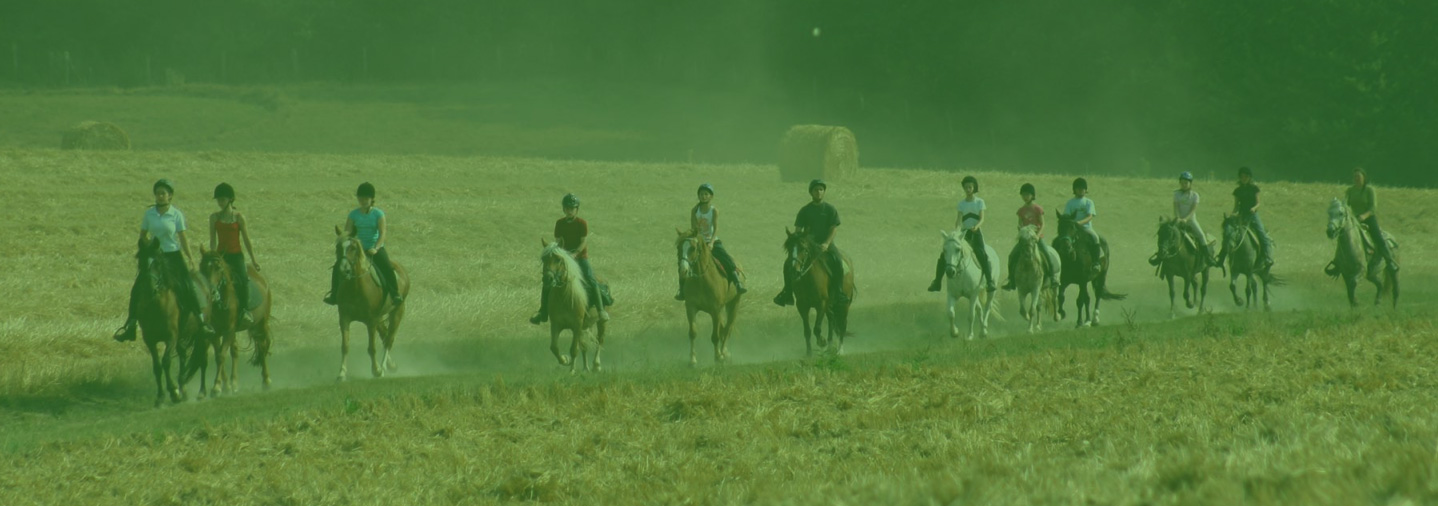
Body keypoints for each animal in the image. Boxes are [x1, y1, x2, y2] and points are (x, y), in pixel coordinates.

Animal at [195, 247, 273, 393]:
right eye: (201, 267)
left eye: (218, 268)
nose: (211, 293)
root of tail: (262, 279)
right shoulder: (215, 333)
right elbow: (218, 355)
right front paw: (224, 385)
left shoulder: (228, 330)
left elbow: (221, 356)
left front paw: (216, 387)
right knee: (237, 350)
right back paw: (234, 383)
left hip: (261, 323)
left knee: (262, 345)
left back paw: (266, 381)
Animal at [333, 225, 408, 379]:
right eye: (338, 246)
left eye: (353, 247)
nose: (343, 270)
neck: (356, 287)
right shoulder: (344, 318)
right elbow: (345, 346)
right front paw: (342, 373)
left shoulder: (371, 320)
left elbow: (372, 347)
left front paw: (376, 370)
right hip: (380, 318)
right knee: (385, 336)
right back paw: (391, 365)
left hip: (397, 311)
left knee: (389, 340)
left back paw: (384, 367)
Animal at [540, 238, 606, 373]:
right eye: (543, 259)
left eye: (558, 259)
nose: (548, 278)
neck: (564, 296)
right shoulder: (556, 324)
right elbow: (554, 347)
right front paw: (565, 360)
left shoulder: (577, 324)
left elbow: (574, 349)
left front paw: (571, 371)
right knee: (584, 346)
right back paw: (585, 368)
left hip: (599, 323)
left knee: (599, 340)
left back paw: (596, 365)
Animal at [672, 228, 742, 363]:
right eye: (678, 247)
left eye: (693, 248)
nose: (683, 270)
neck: (702, 280)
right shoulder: (691, 308)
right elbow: (693, 333)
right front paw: (692, 360)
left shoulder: (715, 310)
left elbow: (715, 336)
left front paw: (718, 357)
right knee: (723, 328)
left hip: (733, 304)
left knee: (727, 329)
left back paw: (723, 352)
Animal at [788, 227, 851, 357]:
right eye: (789, 249)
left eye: (804, 249)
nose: (794, 271)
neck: (808, 279)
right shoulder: (802, 306)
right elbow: (807, 331)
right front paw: (809, 353)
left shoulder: (821, 303)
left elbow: (817, 328)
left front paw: (822, 342)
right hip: (830, 305)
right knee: (832, 321)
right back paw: (830, 347)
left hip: (844, 304)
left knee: (842, 324)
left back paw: (840, 350)